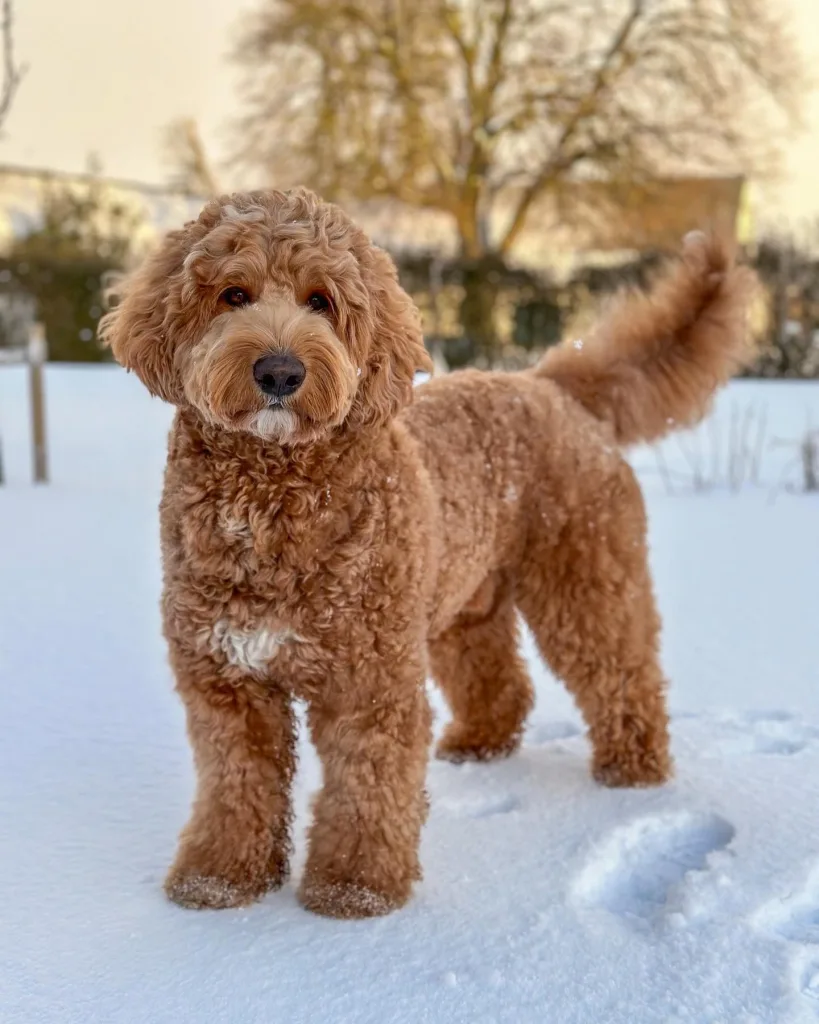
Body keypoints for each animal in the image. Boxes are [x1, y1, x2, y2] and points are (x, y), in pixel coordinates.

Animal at [100, 186, 753, 921]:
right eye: (232, 294)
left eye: (321, 300)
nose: (279, 370)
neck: (272, 498)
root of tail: (551, 385)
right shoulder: (227, 681)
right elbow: (235, 785)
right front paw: (217, 879)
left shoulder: (370, 683)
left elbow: (366, 788)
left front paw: (355, 889)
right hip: (460, 602)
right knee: (499, 677)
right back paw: (481, 743)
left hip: (584, 579)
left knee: (623, 670)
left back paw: (634, 770)